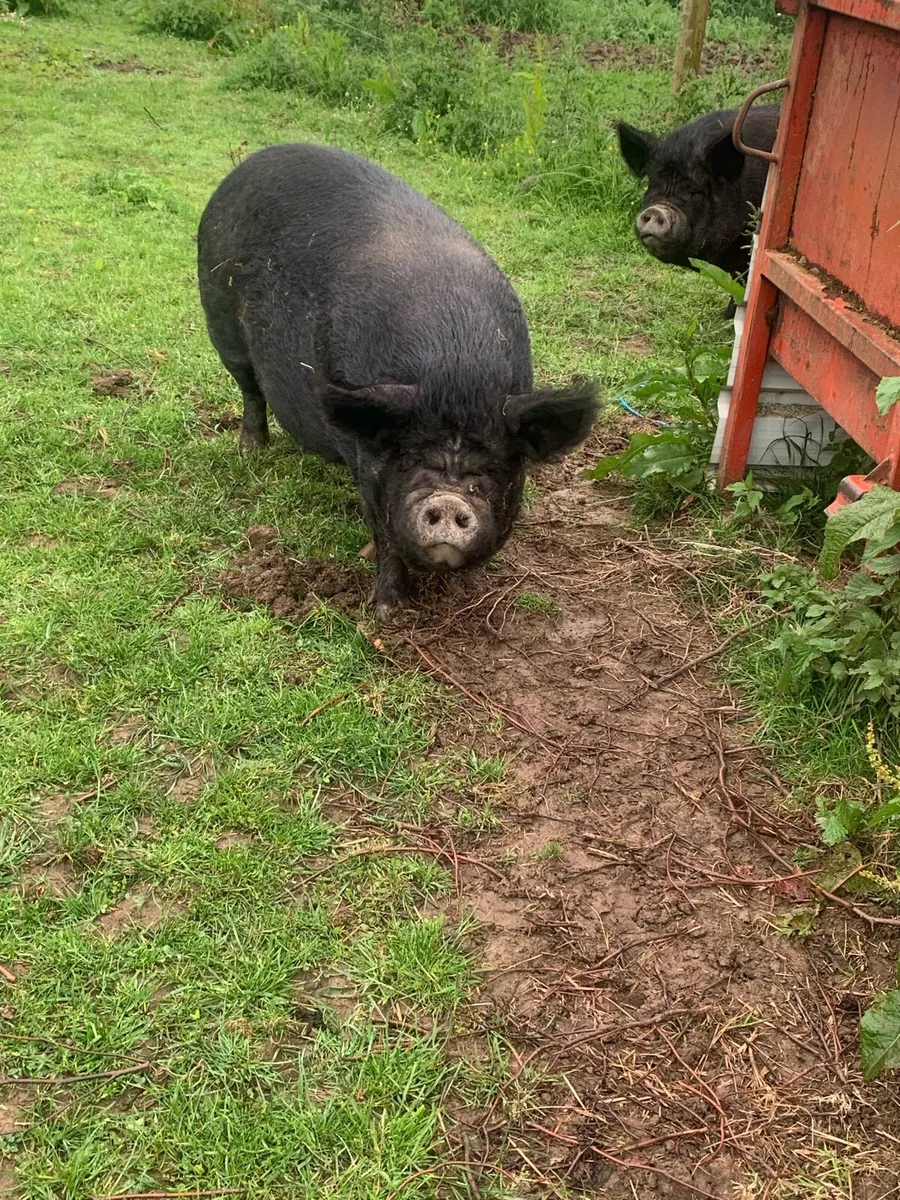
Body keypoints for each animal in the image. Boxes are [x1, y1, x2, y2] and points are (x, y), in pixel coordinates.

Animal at [197, 143, 597, 622]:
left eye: (491, 469)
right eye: (409, 460)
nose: (448, 501)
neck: (455, 367)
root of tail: (247, 165)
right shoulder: (367, 458)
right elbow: (383, 534)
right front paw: (386, 612)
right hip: (219, 315)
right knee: (249, 387)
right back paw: (250, 451)